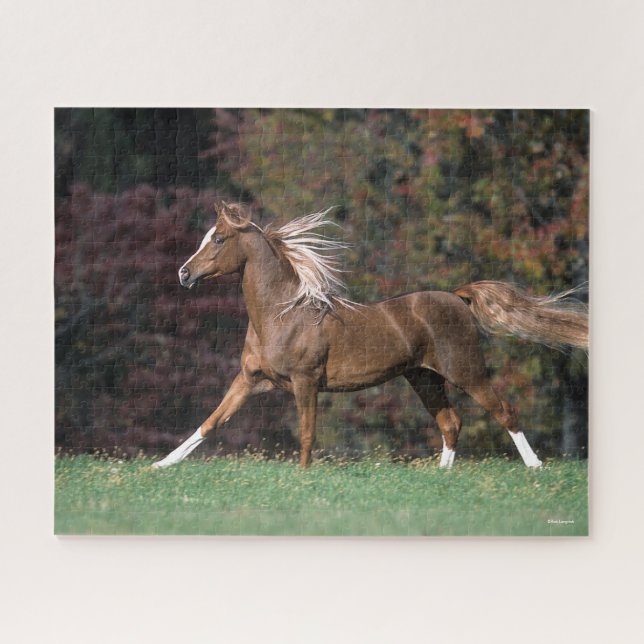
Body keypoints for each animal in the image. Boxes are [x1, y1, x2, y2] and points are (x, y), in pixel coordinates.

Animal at [153, 202, 588, 470]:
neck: (282, 314)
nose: (184, 274)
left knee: (504, 412)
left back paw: (536, 466)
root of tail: (456, 296)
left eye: (218, 239)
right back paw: (440, 476)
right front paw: (159, 465)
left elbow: (307, 433)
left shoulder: (305, 381)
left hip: (467, 372)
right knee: (450, 422)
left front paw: (302, 479)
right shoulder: (250, 380)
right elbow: (211, 422)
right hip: (423, 377)